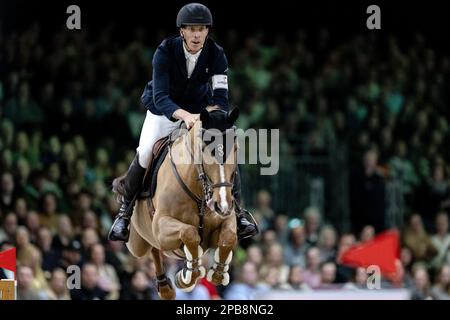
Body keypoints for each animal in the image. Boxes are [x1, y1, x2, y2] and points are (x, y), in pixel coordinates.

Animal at [112, 106, 241, 298]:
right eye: (203, 148)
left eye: (236, 148)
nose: (222, 205)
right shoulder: (161, 226)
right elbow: (190, 233)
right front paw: (188, 275)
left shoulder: (226, 220)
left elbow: (229, 237)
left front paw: (218, 273)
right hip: (136, 244)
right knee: (151, 247)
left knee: (154, 248)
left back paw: (165, 287)